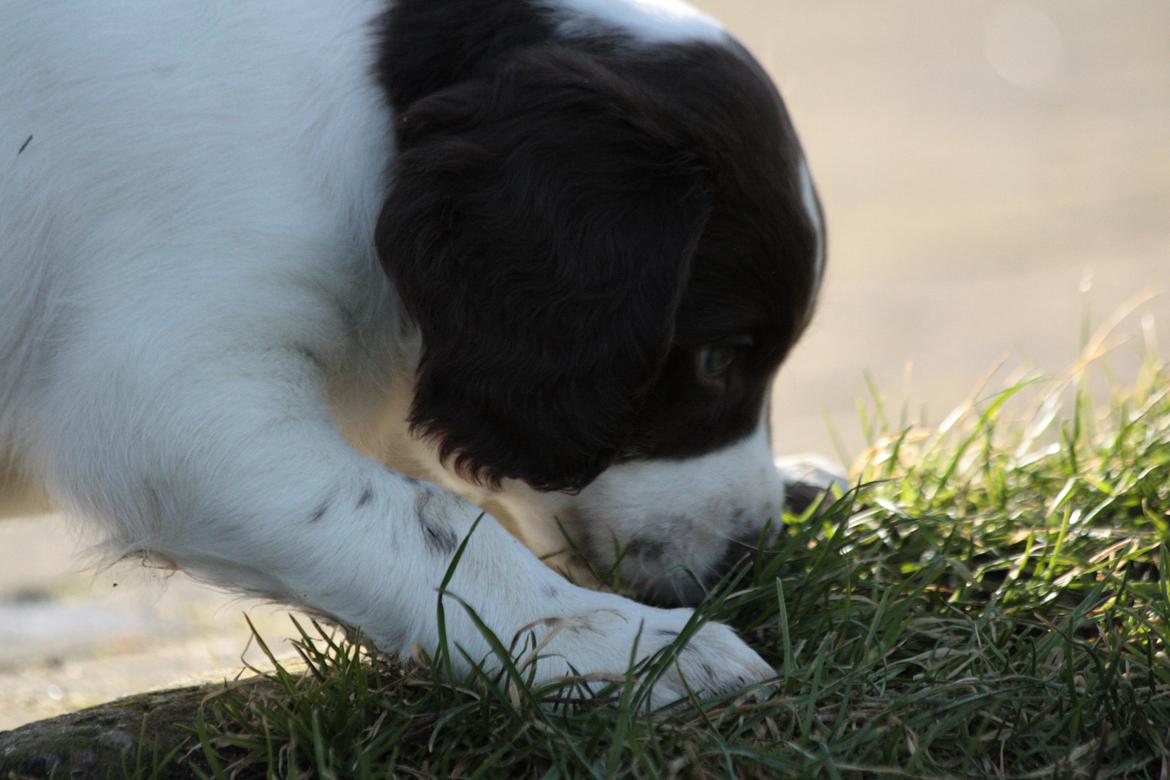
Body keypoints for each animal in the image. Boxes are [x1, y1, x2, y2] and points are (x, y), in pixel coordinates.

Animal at [0, 0, 823, 706]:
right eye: (717, 360)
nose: (750, 557)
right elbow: (427, 520)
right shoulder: (162, 402)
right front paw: (620, 646)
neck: (371, 107)